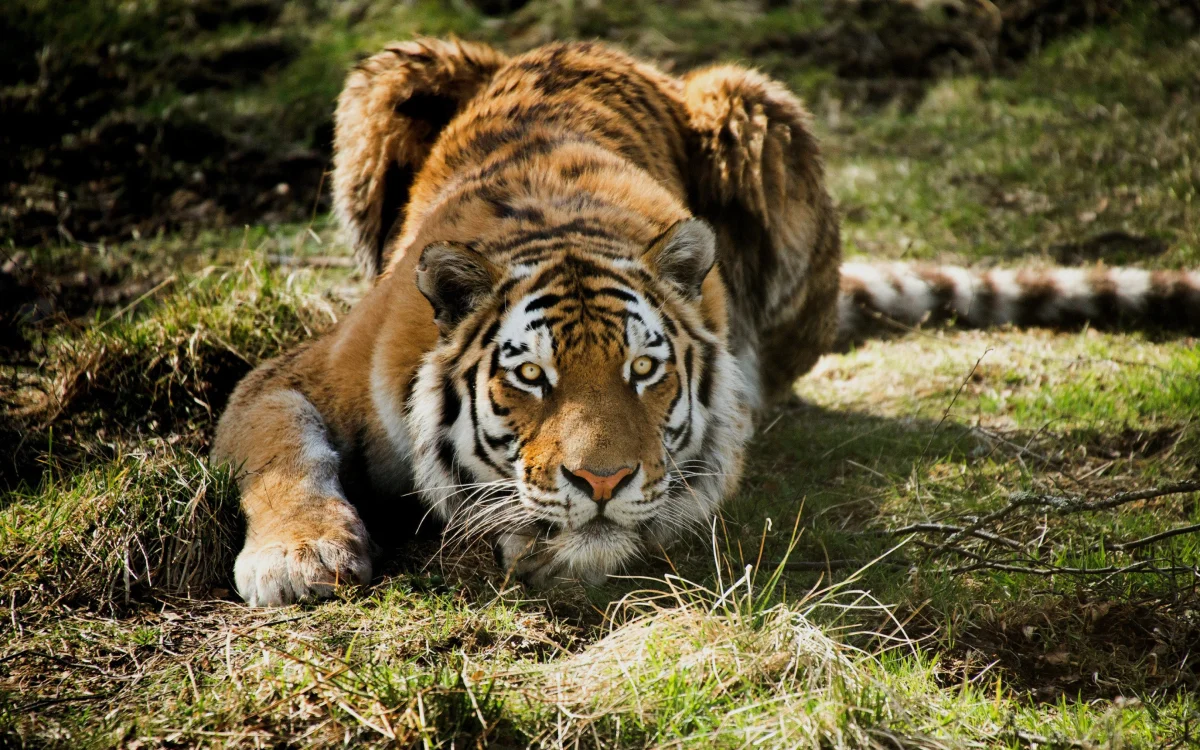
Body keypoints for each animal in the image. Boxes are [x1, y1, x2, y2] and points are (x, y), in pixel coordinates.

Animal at [212, 39, 1200, 606]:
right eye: (529, 376)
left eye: (644, 372)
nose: (601, 481)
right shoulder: (293, 374)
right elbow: (284, 451)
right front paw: (299, 558)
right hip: (390, 72)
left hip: (759, 110)